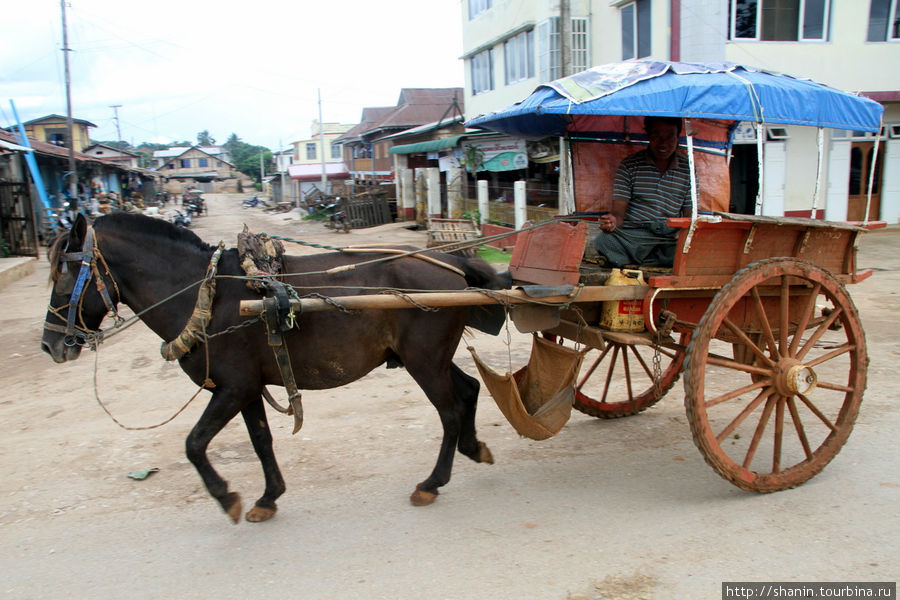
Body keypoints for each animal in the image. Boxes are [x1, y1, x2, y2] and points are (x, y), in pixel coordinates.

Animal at [42, 213, 510, 524]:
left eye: (65, 270)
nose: (51, 345)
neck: (205, 295)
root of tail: (451, 264)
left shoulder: (232, 389)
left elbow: (194, 444)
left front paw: (226, 497)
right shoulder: (246, 388)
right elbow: (261, 441)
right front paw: (268, 498)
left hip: (424, 361)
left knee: (449, 411)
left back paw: (432, 483)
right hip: (430, 359)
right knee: (468, 390)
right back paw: (474, 448)